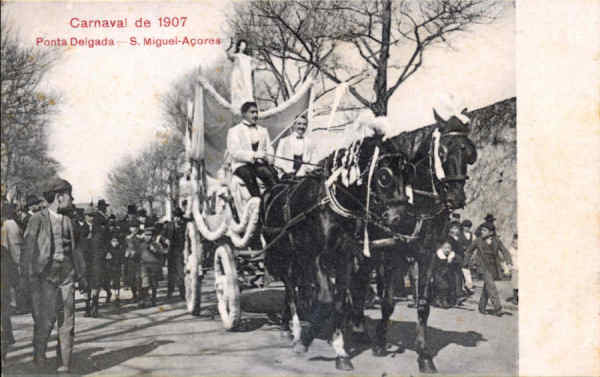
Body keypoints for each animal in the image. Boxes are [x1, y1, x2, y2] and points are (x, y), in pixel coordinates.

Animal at [262, 130, 412, 370]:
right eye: (384, 176)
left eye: (409, 173)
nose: (403, 218)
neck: (334, 205)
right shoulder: (316, 257)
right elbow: (326, 300)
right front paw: (307, 341)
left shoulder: (345, 257)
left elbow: (341, 302)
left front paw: (341, 349)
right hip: (284, 256)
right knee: (290, 289)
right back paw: (295, 330)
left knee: (296, 289)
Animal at [350, 113, 476, 372]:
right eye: (442, 152)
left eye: (469, 153)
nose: (456, 198)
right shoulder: (390, 254)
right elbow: (387, 301)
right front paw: (380, 343)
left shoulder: (425, 255)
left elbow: (423, 305)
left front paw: (424, 355)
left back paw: (357, 325)